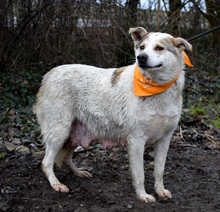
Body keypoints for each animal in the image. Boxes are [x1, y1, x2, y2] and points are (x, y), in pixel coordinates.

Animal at [33, 26, 192, 202]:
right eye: (142, 47)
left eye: (159, 48)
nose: (141, 58)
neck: (156, 88)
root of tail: (48, 75)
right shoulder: (136, 140)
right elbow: (140, 175)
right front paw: (142, 195)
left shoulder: (165, 139)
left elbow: (159, 171)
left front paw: (160, 190)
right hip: (59, 131)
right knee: (46, 162)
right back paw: (56, 184)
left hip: (73, 134)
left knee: (66, 159)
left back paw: (79, 172)